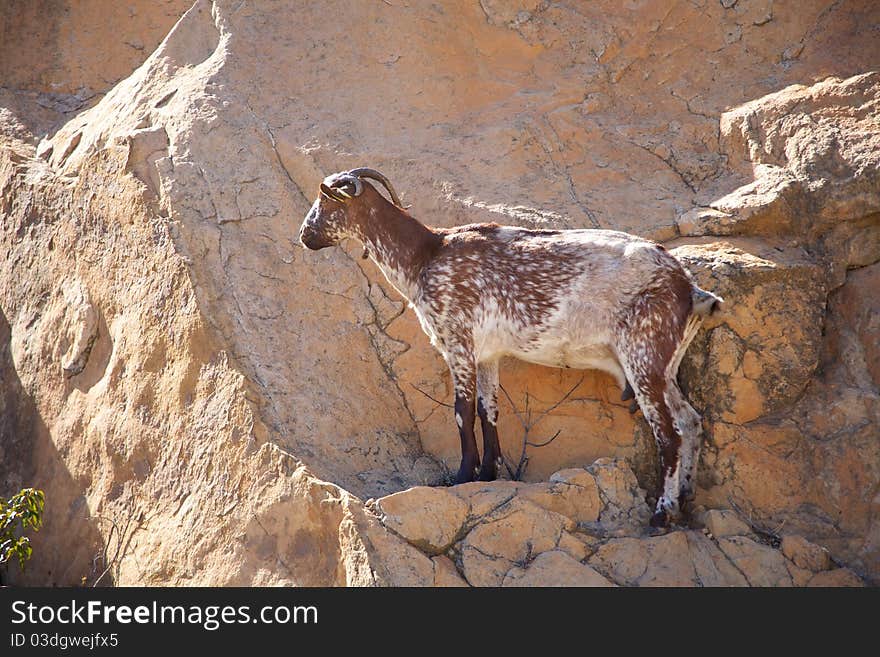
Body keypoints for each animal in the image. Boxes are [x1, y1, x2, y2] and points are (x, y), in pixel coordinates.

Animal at [302, 169, 720, 528]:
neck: (426, 255)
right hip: (664, 366)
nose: (305, 235)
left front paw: (461, 476)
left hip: (643, 356)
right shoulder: (487, 354)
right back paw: (684, 502)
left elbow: (462, 411)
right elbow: (488, 410)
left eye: (324, 202)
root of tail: (688, 289)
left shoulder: (458, 340)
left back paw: (662, 515)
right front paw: (488, 473)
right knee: (691, 421)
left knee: (668, 433)